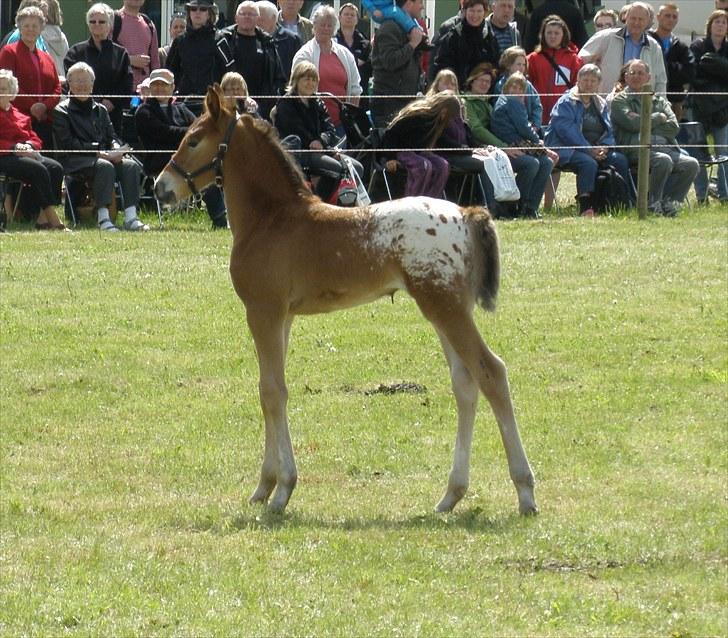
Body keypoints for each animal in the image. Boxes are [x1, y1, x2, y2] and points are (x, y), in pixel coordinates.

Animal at [155, 85, 540, 516]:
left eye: (193, 140)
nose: (160, 187)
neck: (272, 219)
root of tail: (467, 212)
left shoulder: (263, 311)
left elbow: (272, 391)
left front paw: (281, 491)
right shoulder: (283, 316)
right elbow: (270, 388)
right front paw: (264, 486)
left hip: (446, 308)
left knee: (491, 372)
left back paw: (525, 491)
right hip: (446, 309)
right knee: (465, 383)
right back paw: (450, 495)